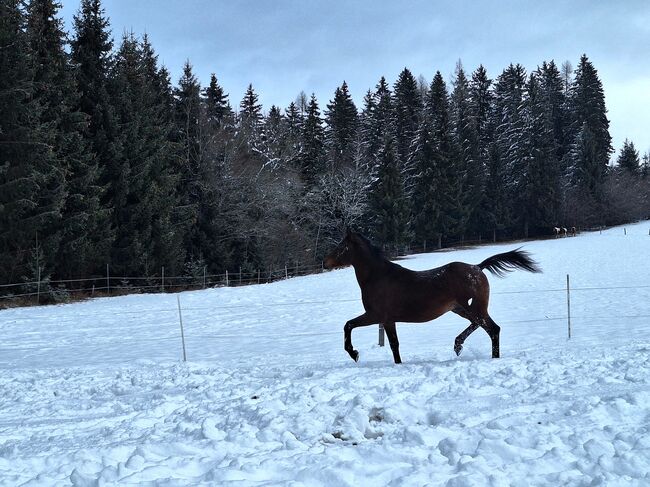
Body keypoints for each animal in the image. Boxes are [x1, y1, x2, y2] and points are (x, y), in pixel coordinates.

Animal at [322, 231, 540, 364]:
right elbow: (394, 345)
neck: (378, 277)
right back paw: (458, 345)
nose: (325, 263)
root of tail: (477, 267)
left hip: (473, 309)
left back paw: (487, 356)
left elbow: (349, 325)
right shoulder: (388, 320)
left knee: (493, 329)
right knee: (482, 326)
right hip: (462, 309)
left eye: (341, 247)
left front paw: (354, 353)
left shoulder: (377, 315)